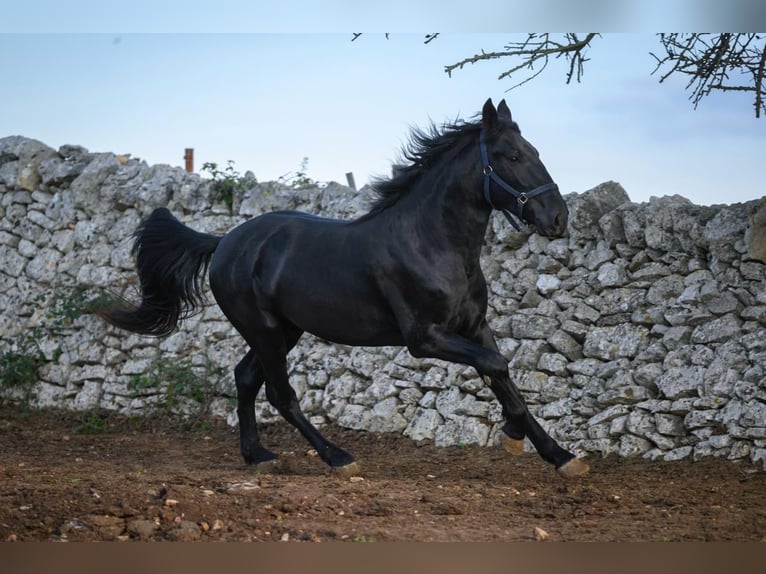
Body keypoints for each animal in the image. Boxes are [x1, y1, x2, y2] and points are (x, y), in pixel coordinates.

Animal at [102, 100, 592, 482]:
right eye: (511, 155)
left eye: (534, 151)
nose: (558, 218)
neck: (432, 242)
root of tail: (223, 242)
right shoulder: (424, 338)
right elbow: (496, 366)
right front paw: (513, 437)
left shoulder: (474, 326)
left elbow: (502, 374)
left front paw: (561, 456)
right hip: (264, 330)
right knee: (280, 393)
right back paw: (337, 457)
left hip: (284, 330)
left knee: (245, 378)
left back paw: (258, 456)